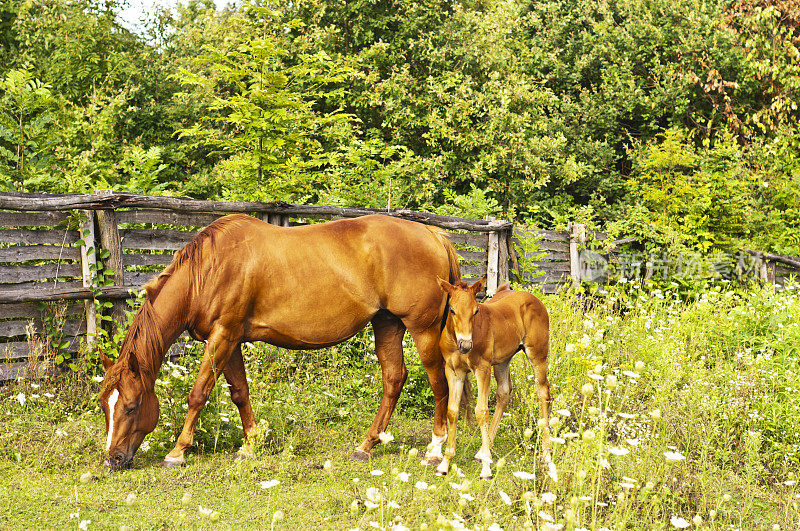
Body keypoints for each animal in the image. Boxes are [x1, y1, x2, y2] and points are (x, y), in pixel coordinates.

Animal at [438, 276, 552, 480]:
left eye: (476, 310)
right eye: (451, 309)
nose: (465, 345)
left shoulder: (482, 368)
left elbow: (481, 411)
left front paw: (486, 470)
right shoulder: (453, 371)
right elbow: (452, 411)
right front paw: (445, 463)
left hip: (537, 355)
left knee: (542, 393)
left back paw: (546, 455)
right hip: (502, 360)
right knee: (504, 392)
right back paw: (483, 451)